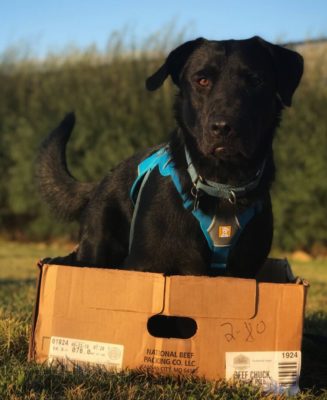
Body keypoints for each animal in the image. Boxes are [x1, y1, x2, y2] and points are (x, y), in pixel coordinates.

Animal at [36, 37, 302, 278]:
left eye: (255, 80)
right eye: (202, 80)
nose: (223, 127)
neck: (224, 185)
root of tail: (103, 180)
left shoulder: (243, 273)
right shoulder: (145, 264)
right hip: (96, 244)